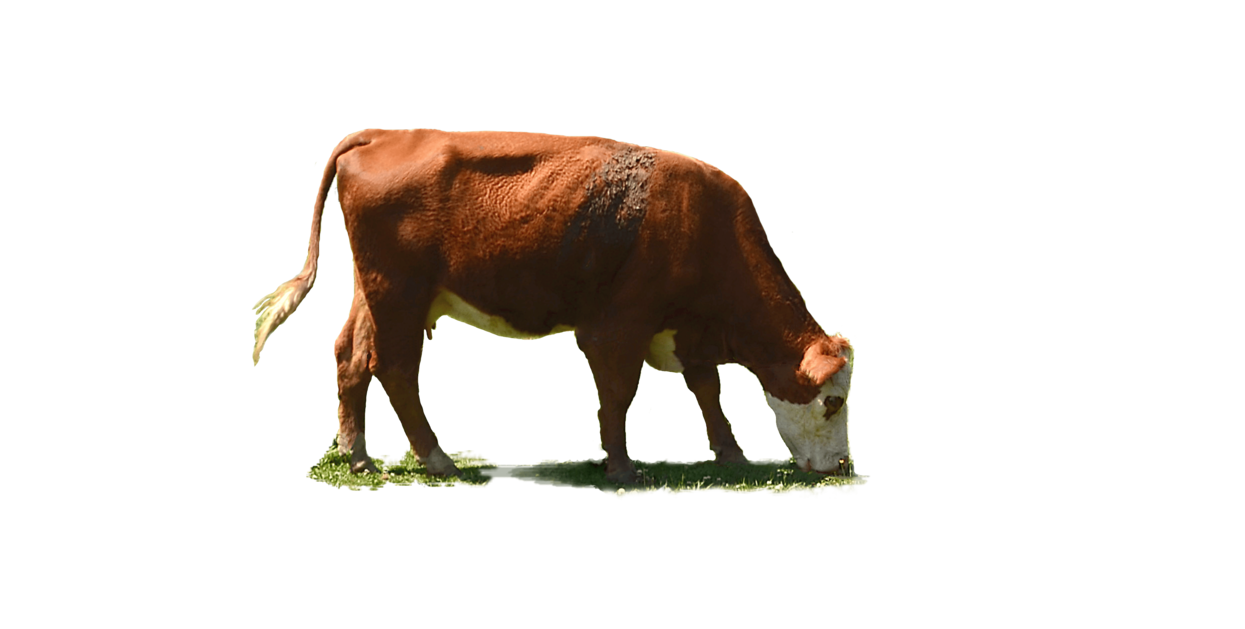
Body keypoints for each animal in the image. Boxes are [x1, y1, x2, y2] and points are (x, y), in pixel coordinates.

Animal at [250, 127, 854, 485]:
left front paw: (731, 454)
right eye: (832, 402)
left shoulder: (686, 328)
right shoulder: (618, 325)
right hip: (401, 292)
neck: (700, 218)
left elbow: (708, 388)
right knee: (395, 368)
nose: (843, 465)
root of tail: (386, 133)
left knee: (350, 357)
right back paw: (436, 458)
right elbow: (619, 393)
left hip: (374, 292)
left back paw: (359, 455)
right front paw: (621, 468)